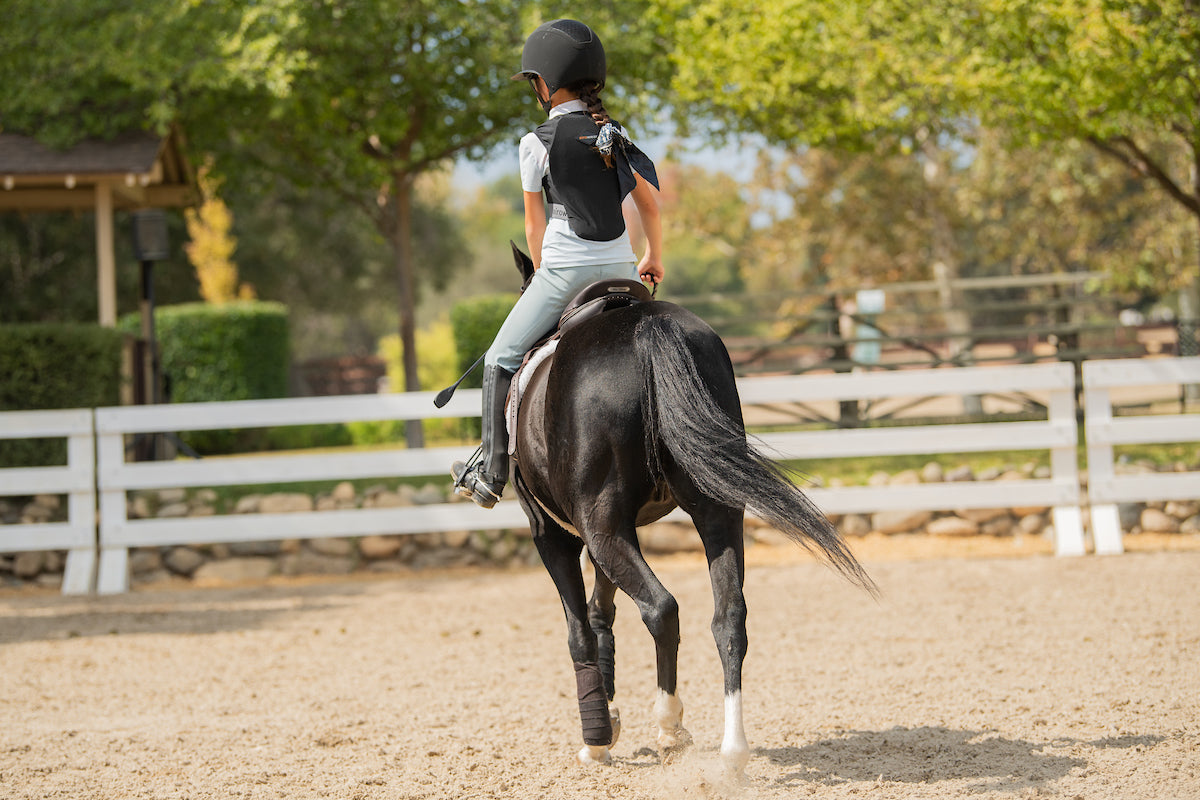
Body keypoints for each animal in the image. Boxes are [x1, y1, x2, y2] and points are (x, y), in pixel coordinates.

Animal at [496, 247, 877, 773]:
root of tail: (647, 328)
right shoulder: (613, 531)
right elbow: (601, 609)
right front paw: (610, 714)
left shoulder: (556, 533)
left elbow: (580, 628)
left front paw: (597, 738)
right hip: (712, 510)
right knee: (728, 616)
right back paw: (732, 750)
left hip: (601, 526)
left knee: (661, 608)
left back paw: (669, 727)